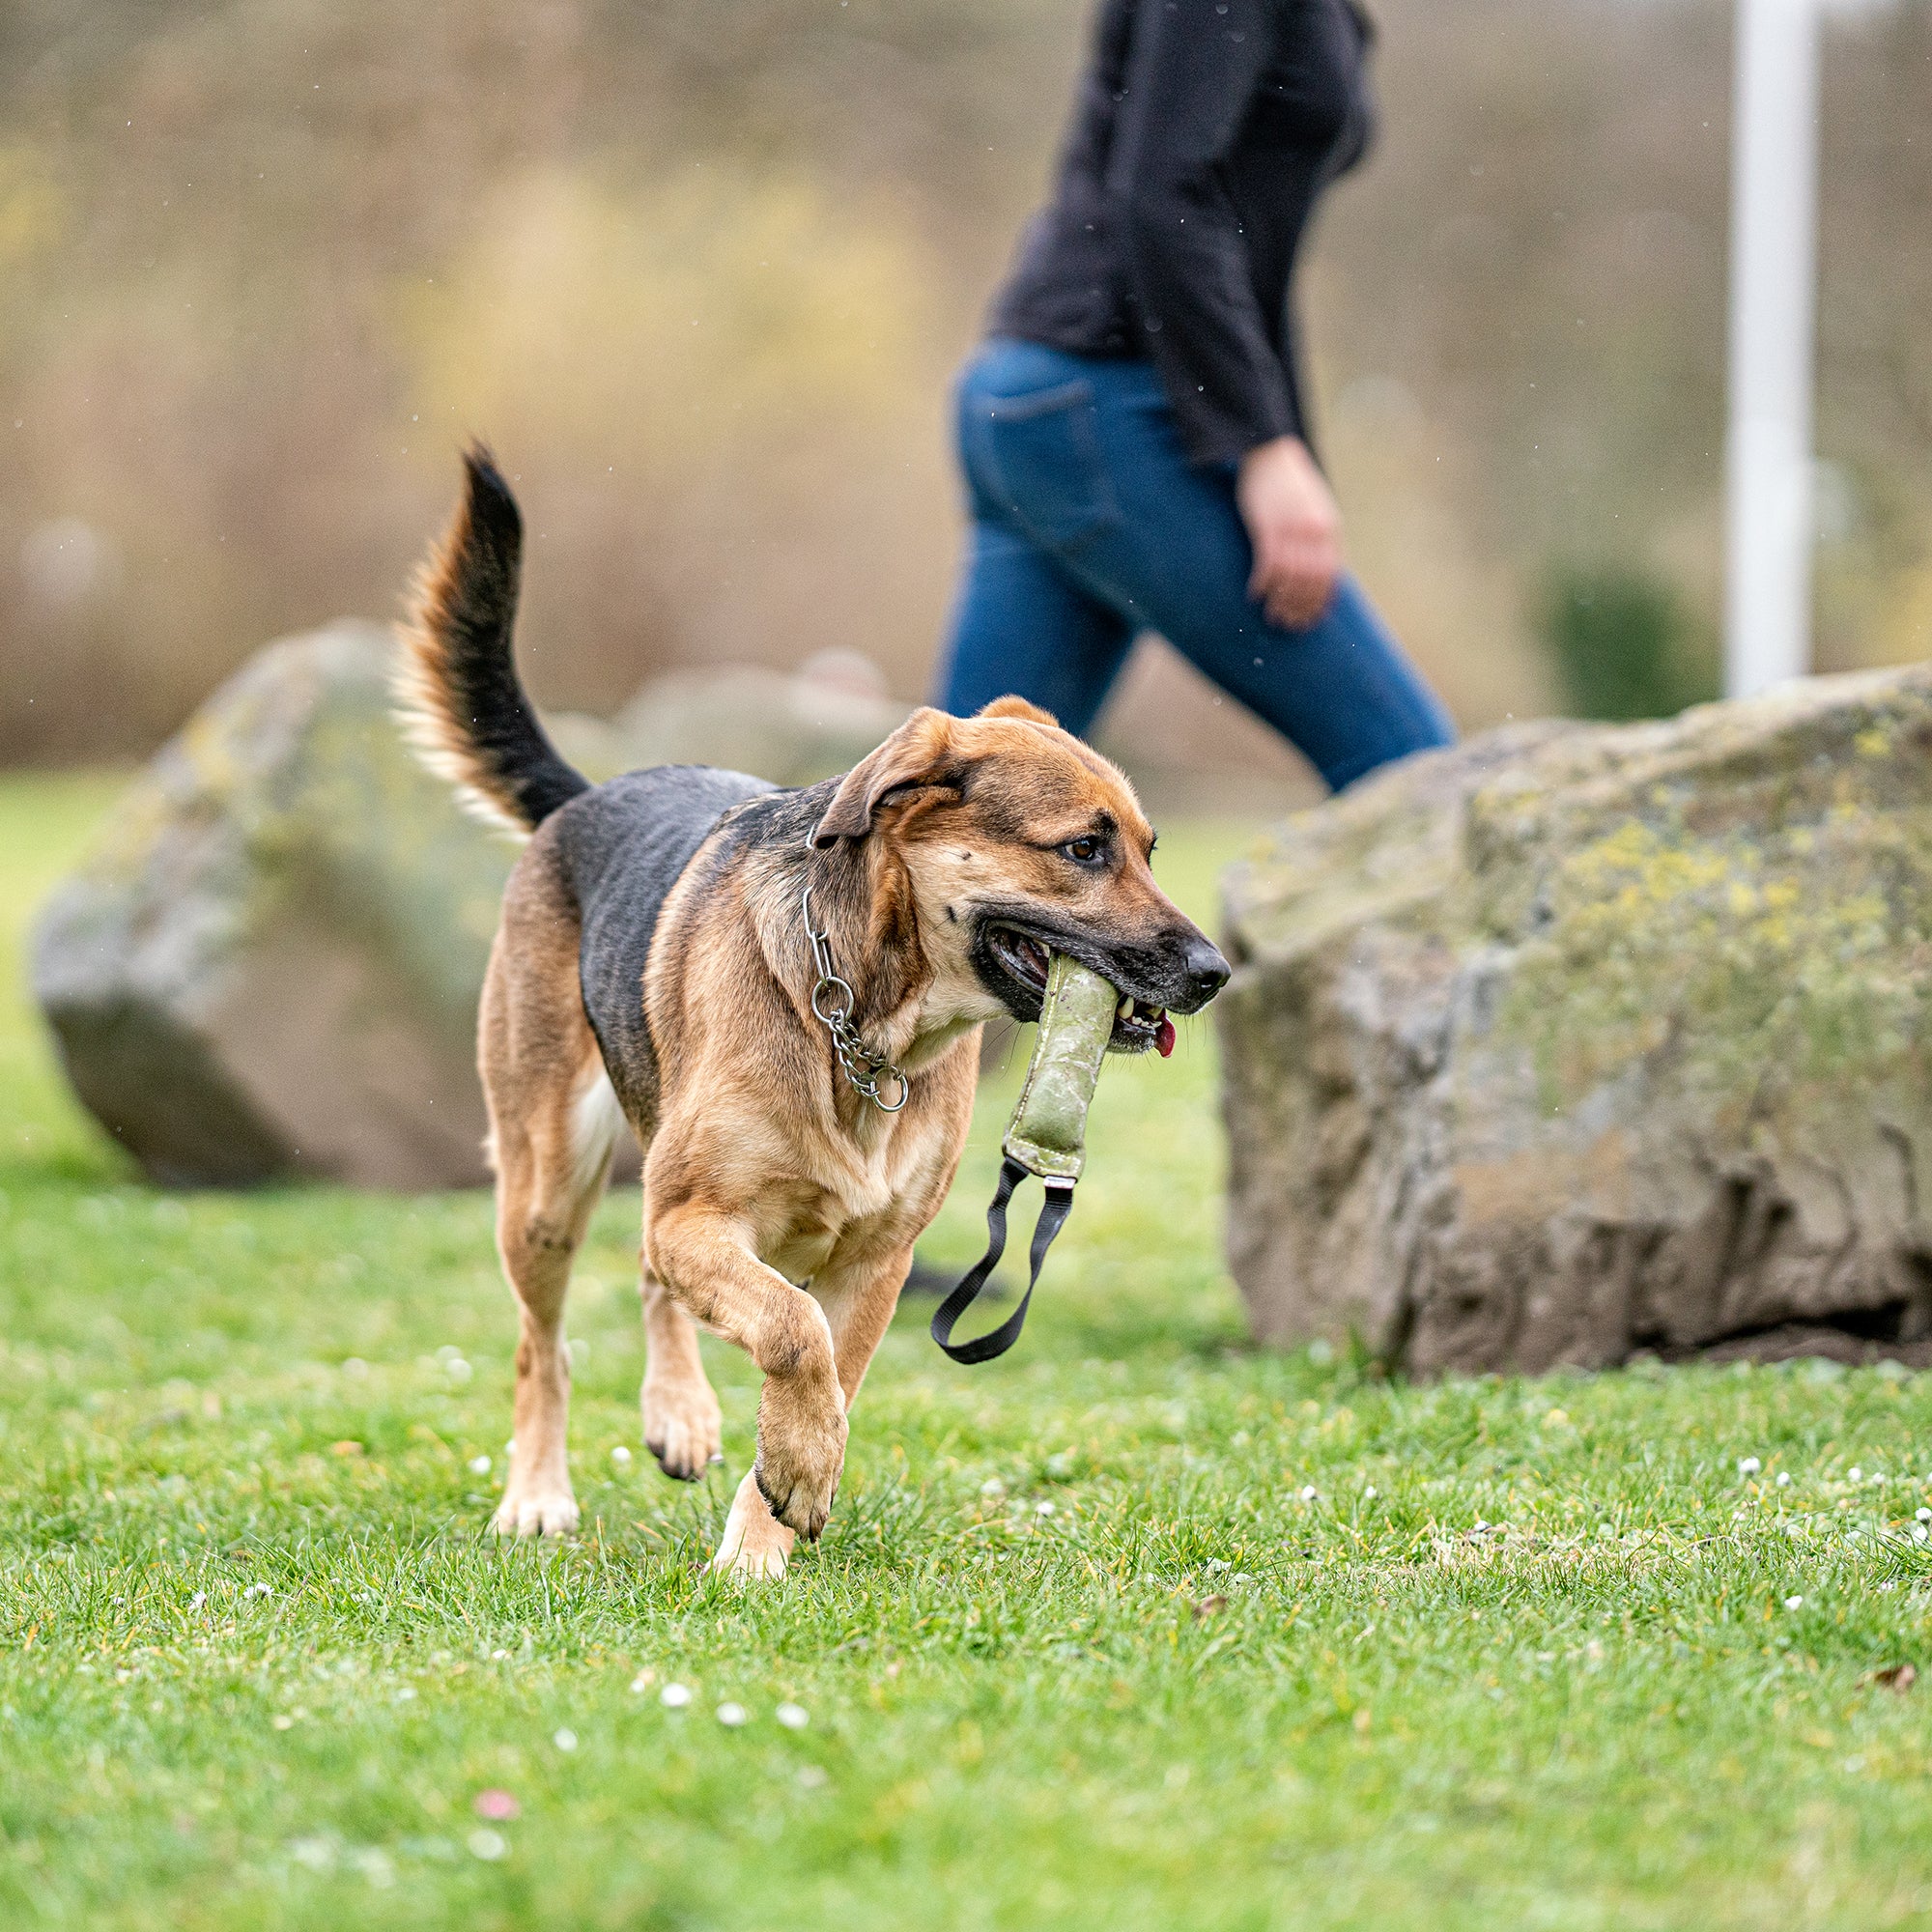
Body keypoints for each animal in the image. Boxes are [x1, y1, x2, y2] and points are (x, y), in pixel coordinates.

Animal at [400, 448, 1229, 1569]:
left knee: (648, 1277)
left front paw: (760, 1539)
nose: (1214, 971)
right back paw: (537, 1493)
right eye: (1084, 848)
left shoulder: (872, 1260)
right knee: (547, 1346)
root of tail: (587, 795)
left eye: (1147, 848)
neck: (859, 1029)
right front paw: (795, 1477)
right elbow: (794, 1338)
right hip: (544, 1182)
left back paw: (681, 1414)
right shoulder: (705, 1223)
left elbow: (822, 1360)